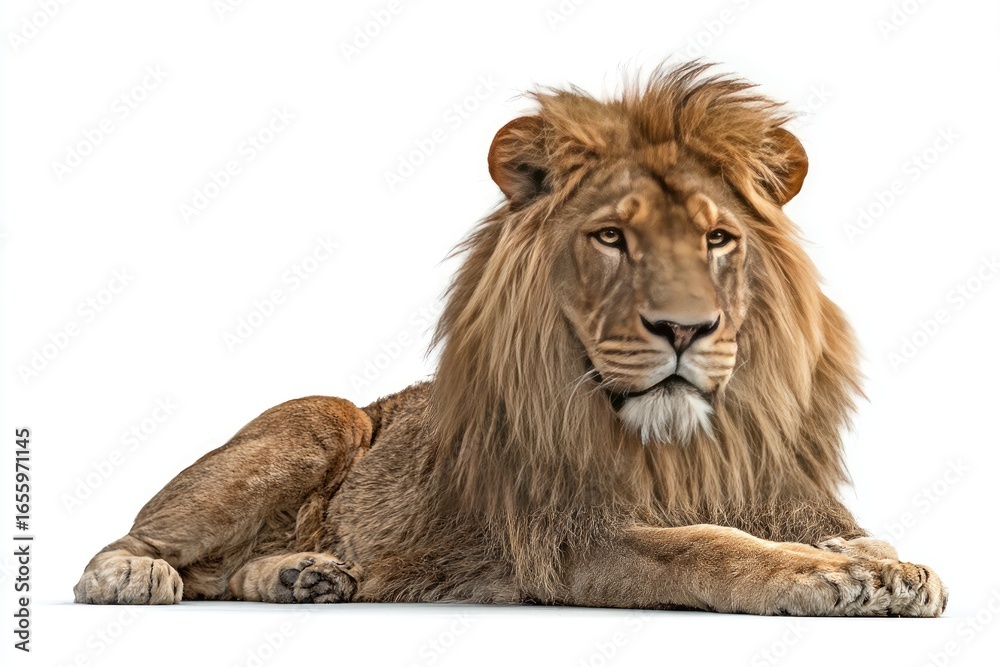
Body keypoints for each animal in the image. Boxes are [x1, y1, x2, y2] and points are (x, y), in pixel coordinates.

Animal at [74, 62, 946, 616]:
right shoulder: (572, 538)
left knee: (225, 575)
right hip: (325, 415)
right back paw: (132, 574)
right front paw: (828, 575)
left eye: (718, 239)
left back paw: (303, 576)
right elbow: (713, 546)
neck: (681, 442)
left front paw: (889, 564)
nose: (684, 328)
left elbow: (840, 528)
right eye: (611, 237)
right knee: (136, 546)